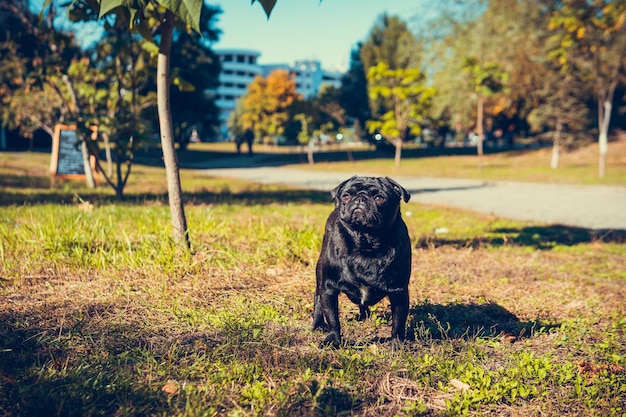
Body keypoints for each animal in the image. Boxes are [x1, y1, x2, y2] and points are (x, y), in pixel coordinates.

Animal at [310, 174, 410, 346]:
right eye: (346, 196)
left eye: (379, 198)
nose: (360, 198)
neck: (366, 243)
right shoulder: (329, 288)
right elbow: (333, 319)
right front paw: (333, 340)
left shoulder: (399, 291)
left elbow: (398, 322)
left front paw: (397, 344)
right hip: (320, 276)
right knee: (317, 297)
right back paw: (318, 325)